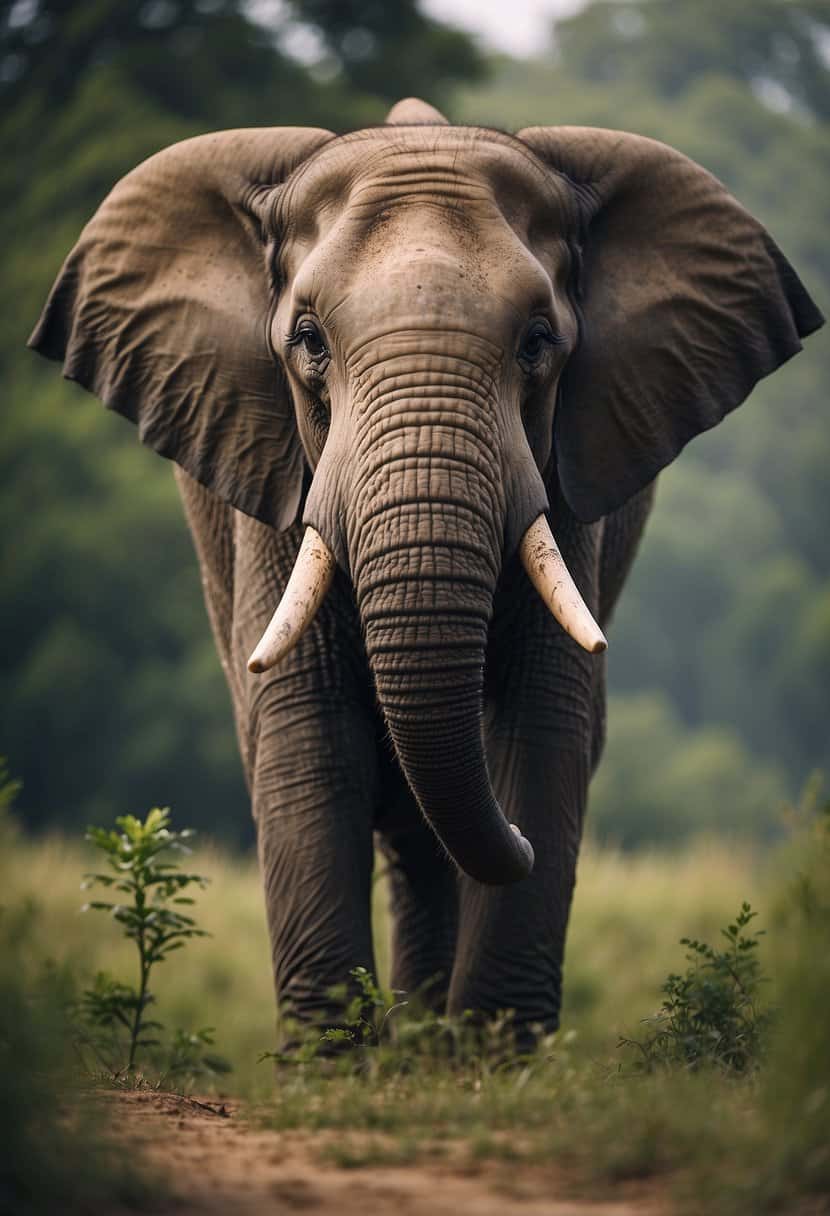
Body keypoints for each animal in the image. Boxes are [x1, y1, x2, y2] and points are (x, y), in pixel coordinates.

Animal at [27, 94, 826, 1045]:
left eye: (538, 342)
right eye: (308, 341)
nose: (520, 843)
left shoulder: (570, 490)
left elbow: (544, 725)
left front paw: (493, 1061)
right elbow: (305, 733)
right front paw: (334, 1067)